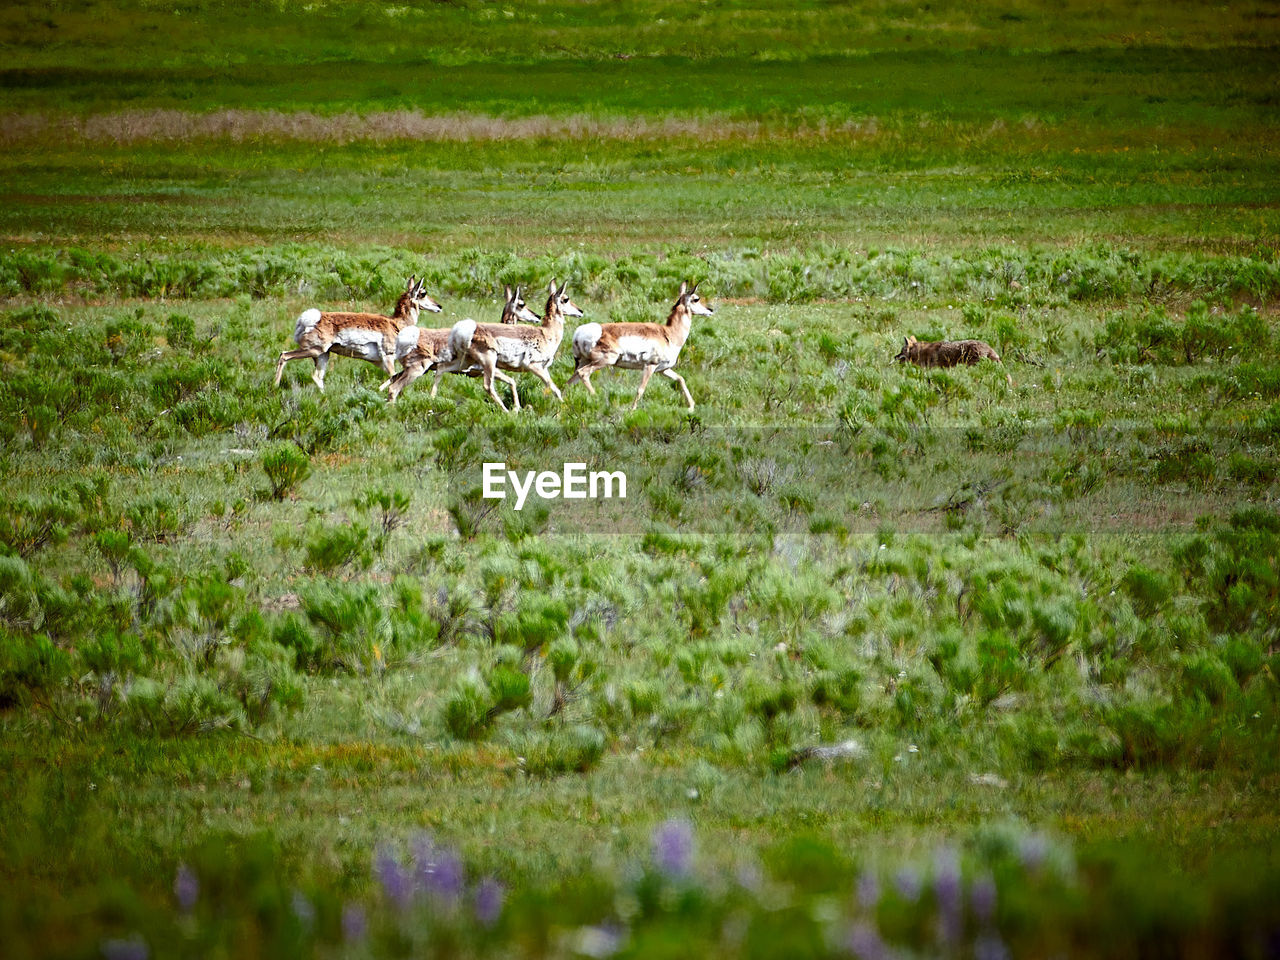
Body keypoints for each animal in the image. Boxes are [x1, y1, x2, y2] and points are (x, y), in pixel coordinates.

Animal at [273, 273, 440, 391]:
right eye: (423, 293)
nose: (439, 306)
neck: (396, 323)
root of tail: (309, 319)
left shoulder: (380, 362)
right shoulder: (388, 358)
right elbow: (393, 377)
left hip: (323, 355)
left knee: (316, 377)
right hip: (314, 350)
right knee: (284, 356)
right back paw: (275, 386)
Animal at [378, 281, 540, 399]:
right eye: (521, 304)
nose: (537, 316)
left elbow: (511, 382)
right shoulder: (489, 371)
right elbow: (512, 382)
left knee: (391, 380)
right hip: (417, 369)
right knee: (394, 385)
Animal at [419, 277, 581, 414]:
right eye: (566, 299)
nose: (581, 311)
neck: (546, 333)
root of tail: (462, 330)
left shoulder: (543, 368)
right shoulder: (535, 366)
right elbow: (554, 388)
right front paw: (564, 407)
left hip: (465, 363)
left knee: (441, 370)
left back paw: (431, 402)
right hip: (488, 362)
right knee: (488, 386)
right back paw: (506, 411)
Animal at [568, 281, 711, 409]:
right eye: (696, 299)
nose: (710, 310)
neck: (668, 334)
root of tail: (579, 333)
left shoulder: (663, 369)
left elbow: (680, 379)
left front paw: (691, 406)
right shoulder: (649, 366)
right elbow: (640, 389)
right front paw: (632, 410)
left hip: (584, 361)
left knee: (569, 381)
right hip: (606, 360)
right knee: (583, 374)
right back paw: (597, 399)